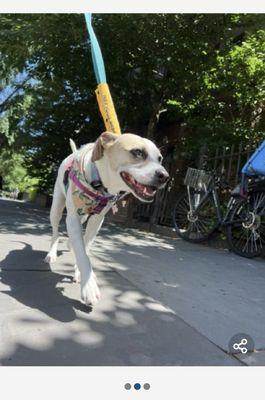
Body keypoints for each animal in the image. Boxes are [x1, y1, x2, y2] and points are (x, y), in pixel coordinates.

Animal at [44, 132, 168, 306]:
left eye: (160, 159)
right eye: (137, 152)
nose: (165, 176)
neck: (100, 184)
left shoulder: (97, 220)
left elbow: (85, 247)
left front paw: (80, 273)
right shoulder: (73, 217)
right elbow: (82, 253)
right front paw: (89, 287)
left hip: (83, 216)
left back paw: (70, 244)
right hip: (57, 206)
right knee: (55, 231)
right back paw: (52, 254)